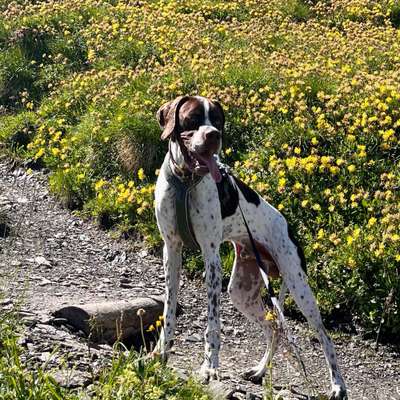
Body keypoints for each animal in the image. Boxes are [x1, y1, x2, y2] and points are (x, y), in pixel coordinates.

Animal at [153, 95, 346, 398]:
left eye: (218, 120)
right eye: (193, 118)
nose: (214, 136)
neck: (185, 182)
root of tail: (288, 225)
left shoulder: (211, 257)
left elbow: (213, 324)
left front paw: (210, 368)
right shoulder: (171, 251)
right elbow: (169, 312)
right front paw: (161, 354)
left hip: (299, 288)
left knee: (324, 337)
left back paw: (338, 385)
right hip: (241, 291)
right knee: (274, 328)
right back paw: (260, 371)